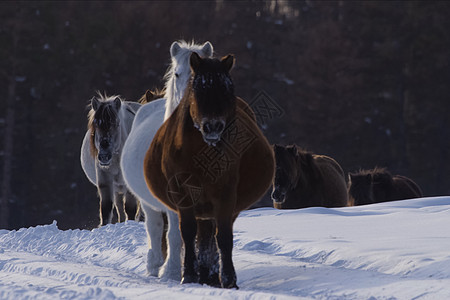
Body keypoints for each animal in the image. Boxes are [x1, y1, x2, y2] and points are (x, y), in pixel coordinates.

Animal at [80, 92, 141, 226]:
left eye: (117, 124)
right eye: (95, 124)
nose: (104, 156)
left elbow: (131, 209)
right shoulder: (105, 180)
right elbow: (106, 209)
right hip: (117, 188)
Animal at [120, 40, 214, 282]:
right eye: (178, 73)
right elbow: (174, 235)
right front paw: (172, 272)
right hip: (148, 203)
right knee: (155, 228)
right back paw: (155, 266)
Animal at [146, 52, 276, 288]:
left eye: (227, 90)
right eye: (198, 89)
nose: (213, 127)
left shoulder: (225, 195)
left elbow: (223, 237)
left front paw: (229, 280)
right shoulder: (183, 194)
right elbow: (188, 234)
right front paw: (188, 275)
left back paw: (211, 275)